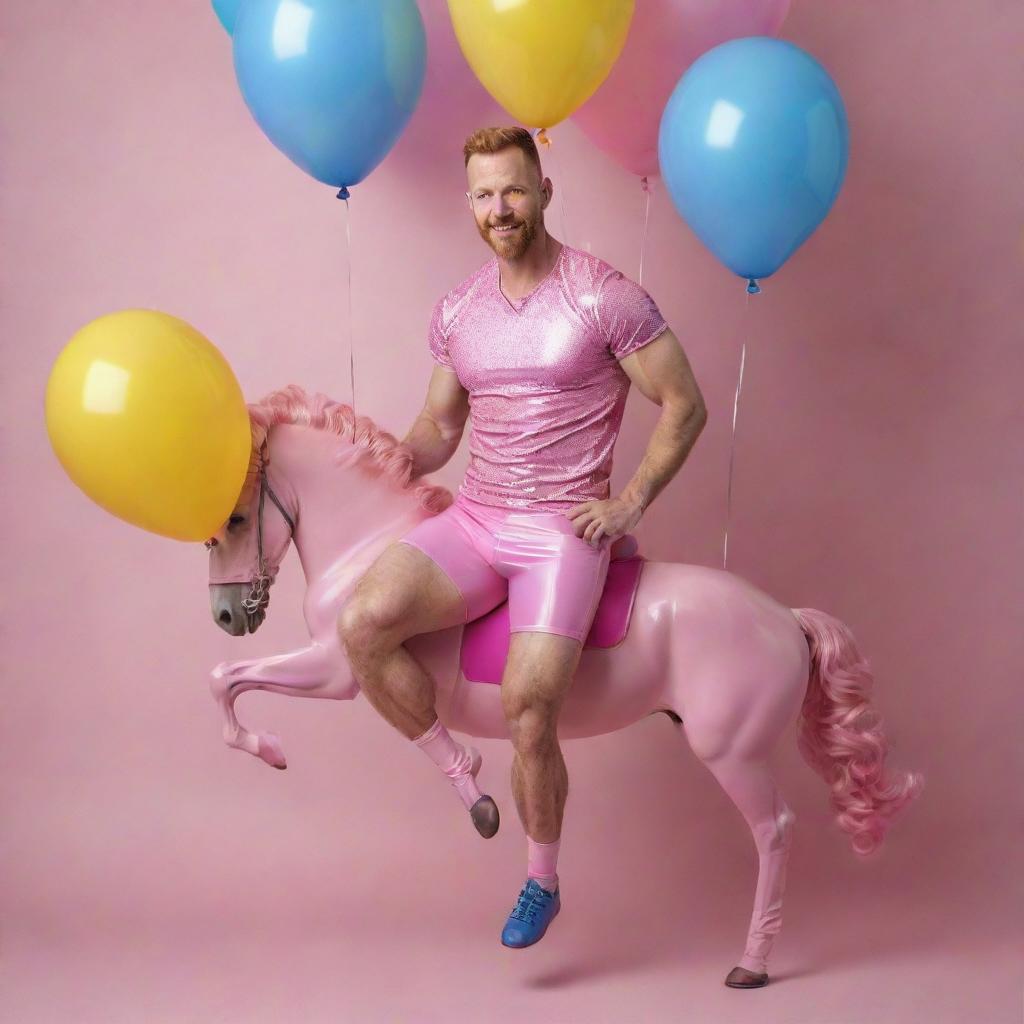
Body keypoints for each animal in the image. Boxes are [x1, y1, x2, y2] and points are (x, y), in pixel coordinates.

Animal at [205, 385, 921, 983]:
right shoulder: (339, 667)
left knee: (774, 830)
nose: (227, 616)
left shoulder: (337, 666)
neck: (370, 545)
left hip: (731, 754)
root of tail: (786, 618)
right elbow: (225, 679)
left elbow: (228, 679)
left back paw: (751, 963)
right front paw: (270, 748)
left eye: (235, 519)